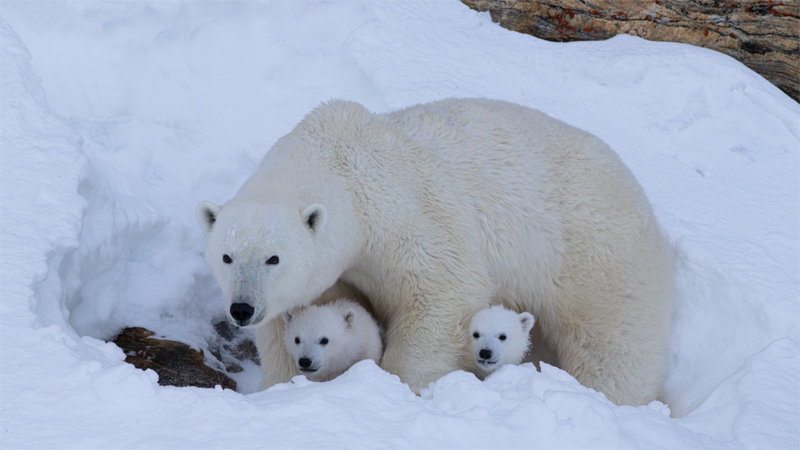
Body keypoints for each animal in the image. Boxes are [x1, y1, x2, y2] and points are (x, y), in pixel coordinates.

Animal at [197, 97, 672, 404]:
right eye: (226, 257)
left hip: (593, 252)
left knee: (611, 342)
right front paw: (281, 386)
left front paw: (399, 386)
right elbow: (302, 317)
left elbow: (442, 290)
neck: (342, 164)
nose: (242, 308)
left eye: (273, 258)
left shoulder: (405, 211)